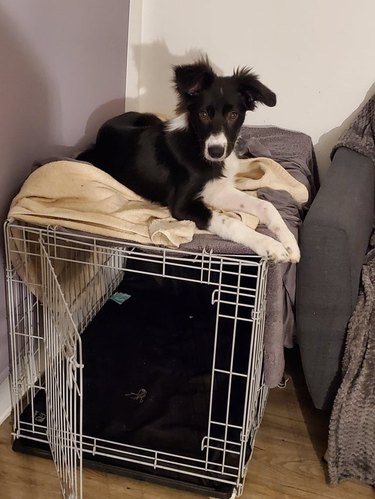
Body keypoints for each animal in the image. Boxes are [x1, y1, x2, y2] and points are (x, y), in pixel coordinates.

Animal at [78, 60, 302, 264]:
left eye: (233, 115)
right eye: (203, 114)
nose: (216, 151)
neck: (197, 147)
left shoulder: (218, 191)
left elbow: (265, 205)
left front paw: (290, 244)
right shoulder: (182, 205)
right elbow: (231, 222)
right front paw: (271, 245)